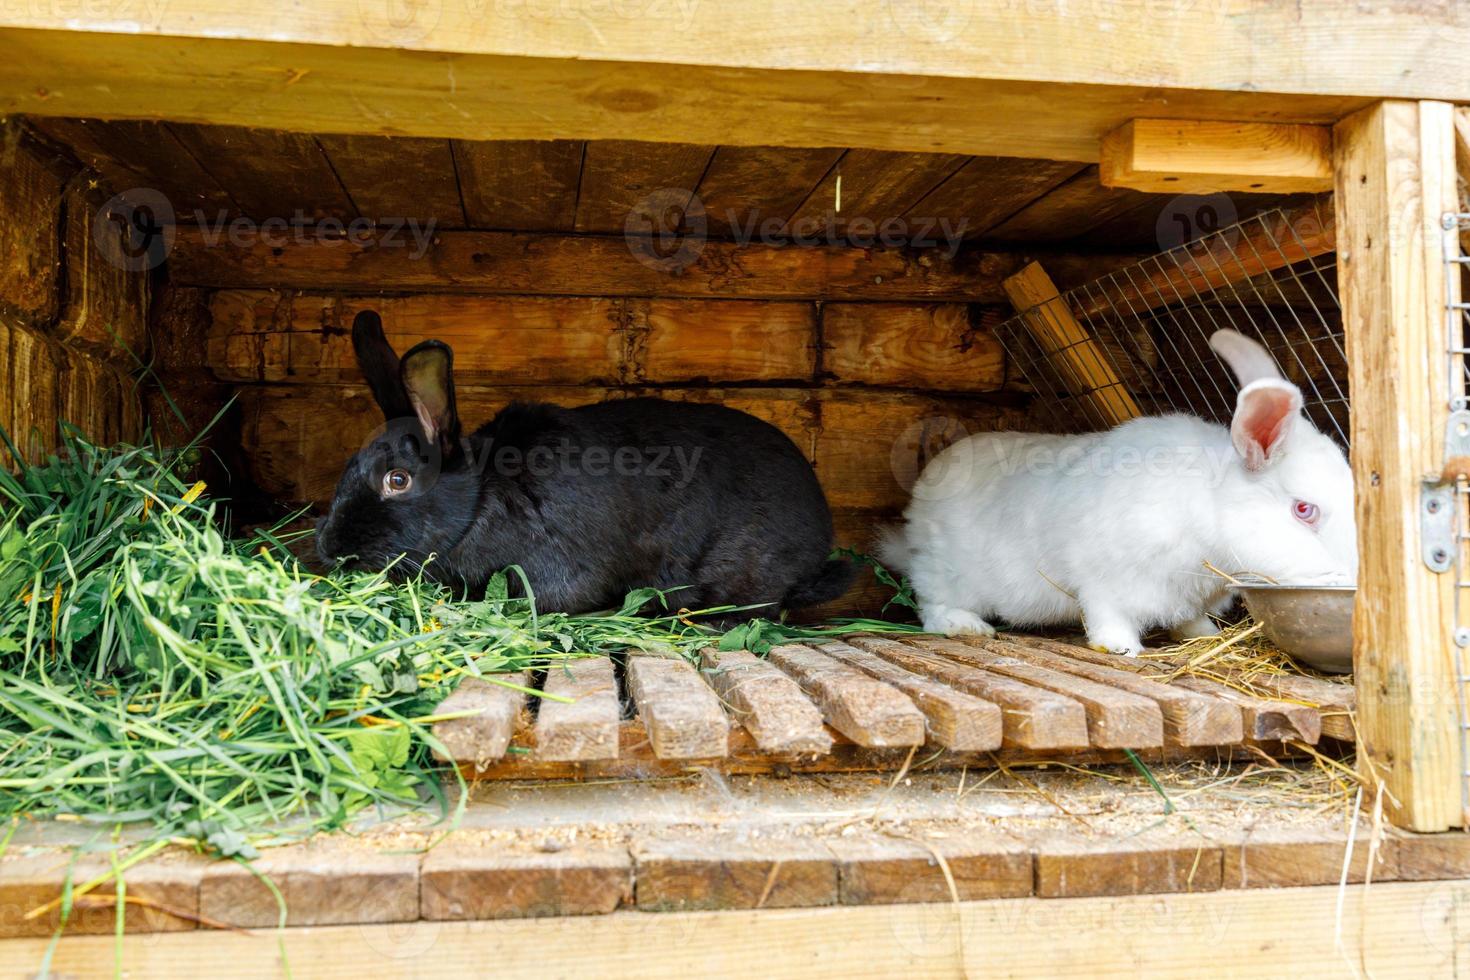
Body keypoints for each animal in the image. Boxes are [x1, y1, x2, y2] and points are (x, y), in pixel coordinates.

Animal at [876, 329, 1358, 658]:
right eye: (1304, 509)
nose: (1350, 576)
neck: (1207, 505)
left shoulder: (1187, 596)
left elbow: (1189, 619)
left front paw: (1205, 635)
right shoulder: (1106, 579)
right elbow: (1108, 615)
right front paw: (1121, 649)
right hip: (948, 572)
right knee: (930, 602)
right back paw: (966, 626)